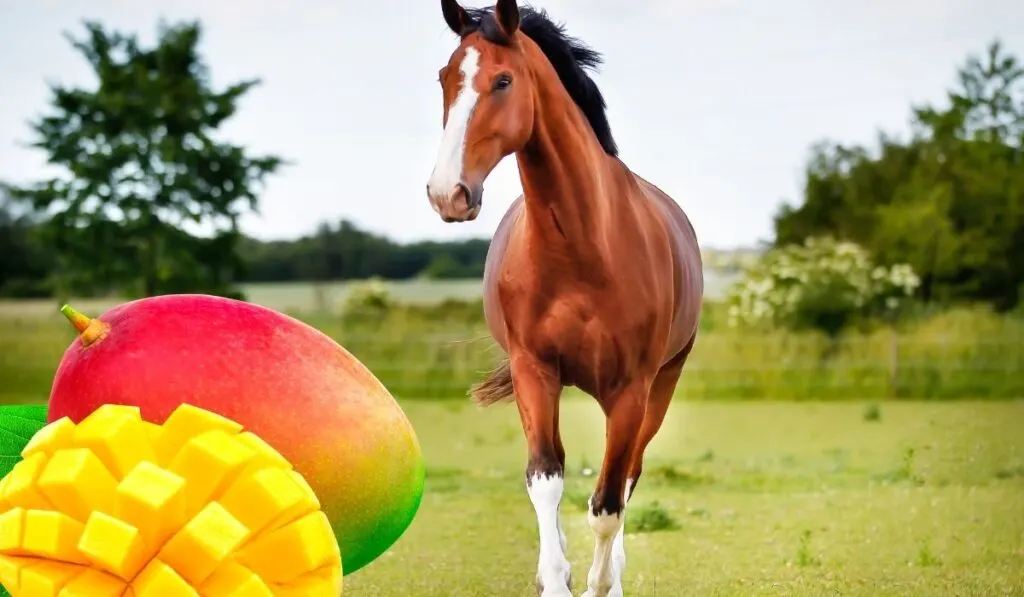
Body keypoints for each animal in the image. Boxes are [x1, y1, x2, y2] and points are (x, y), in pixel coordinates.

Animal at [424, 1, 704, 595]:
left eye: (503, 80)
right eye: (444, 78)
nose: (446, 193)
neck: (581, 247)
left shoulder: (631, 389)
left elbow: (608, 504)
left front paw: (601, 582)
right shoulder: (535, 371)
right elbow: (546, 478)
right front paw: (556, 578)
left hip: (658, 390)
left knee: (628, 479)